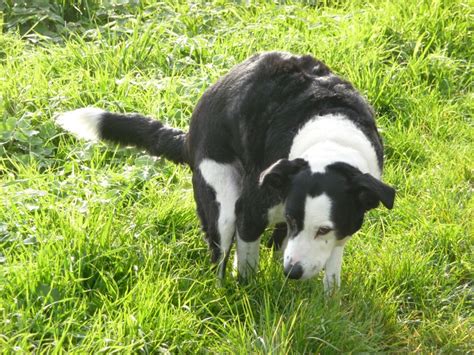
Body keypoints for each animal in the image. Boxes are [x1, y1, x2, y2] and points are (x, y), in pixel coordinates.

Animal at [57, 51, 394, 294]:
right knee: (219, 255)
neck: (330, 141)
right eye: (294, 221)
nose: (292, 273)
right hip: (221, 201)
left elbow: (331, 269)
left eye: (323, 229)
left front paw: (329, 301)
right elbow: (247, 265)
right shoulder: (250, 214)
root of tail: (189, 138)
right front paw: (247, 292)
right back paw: (221, 295)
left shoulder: (342, 227)